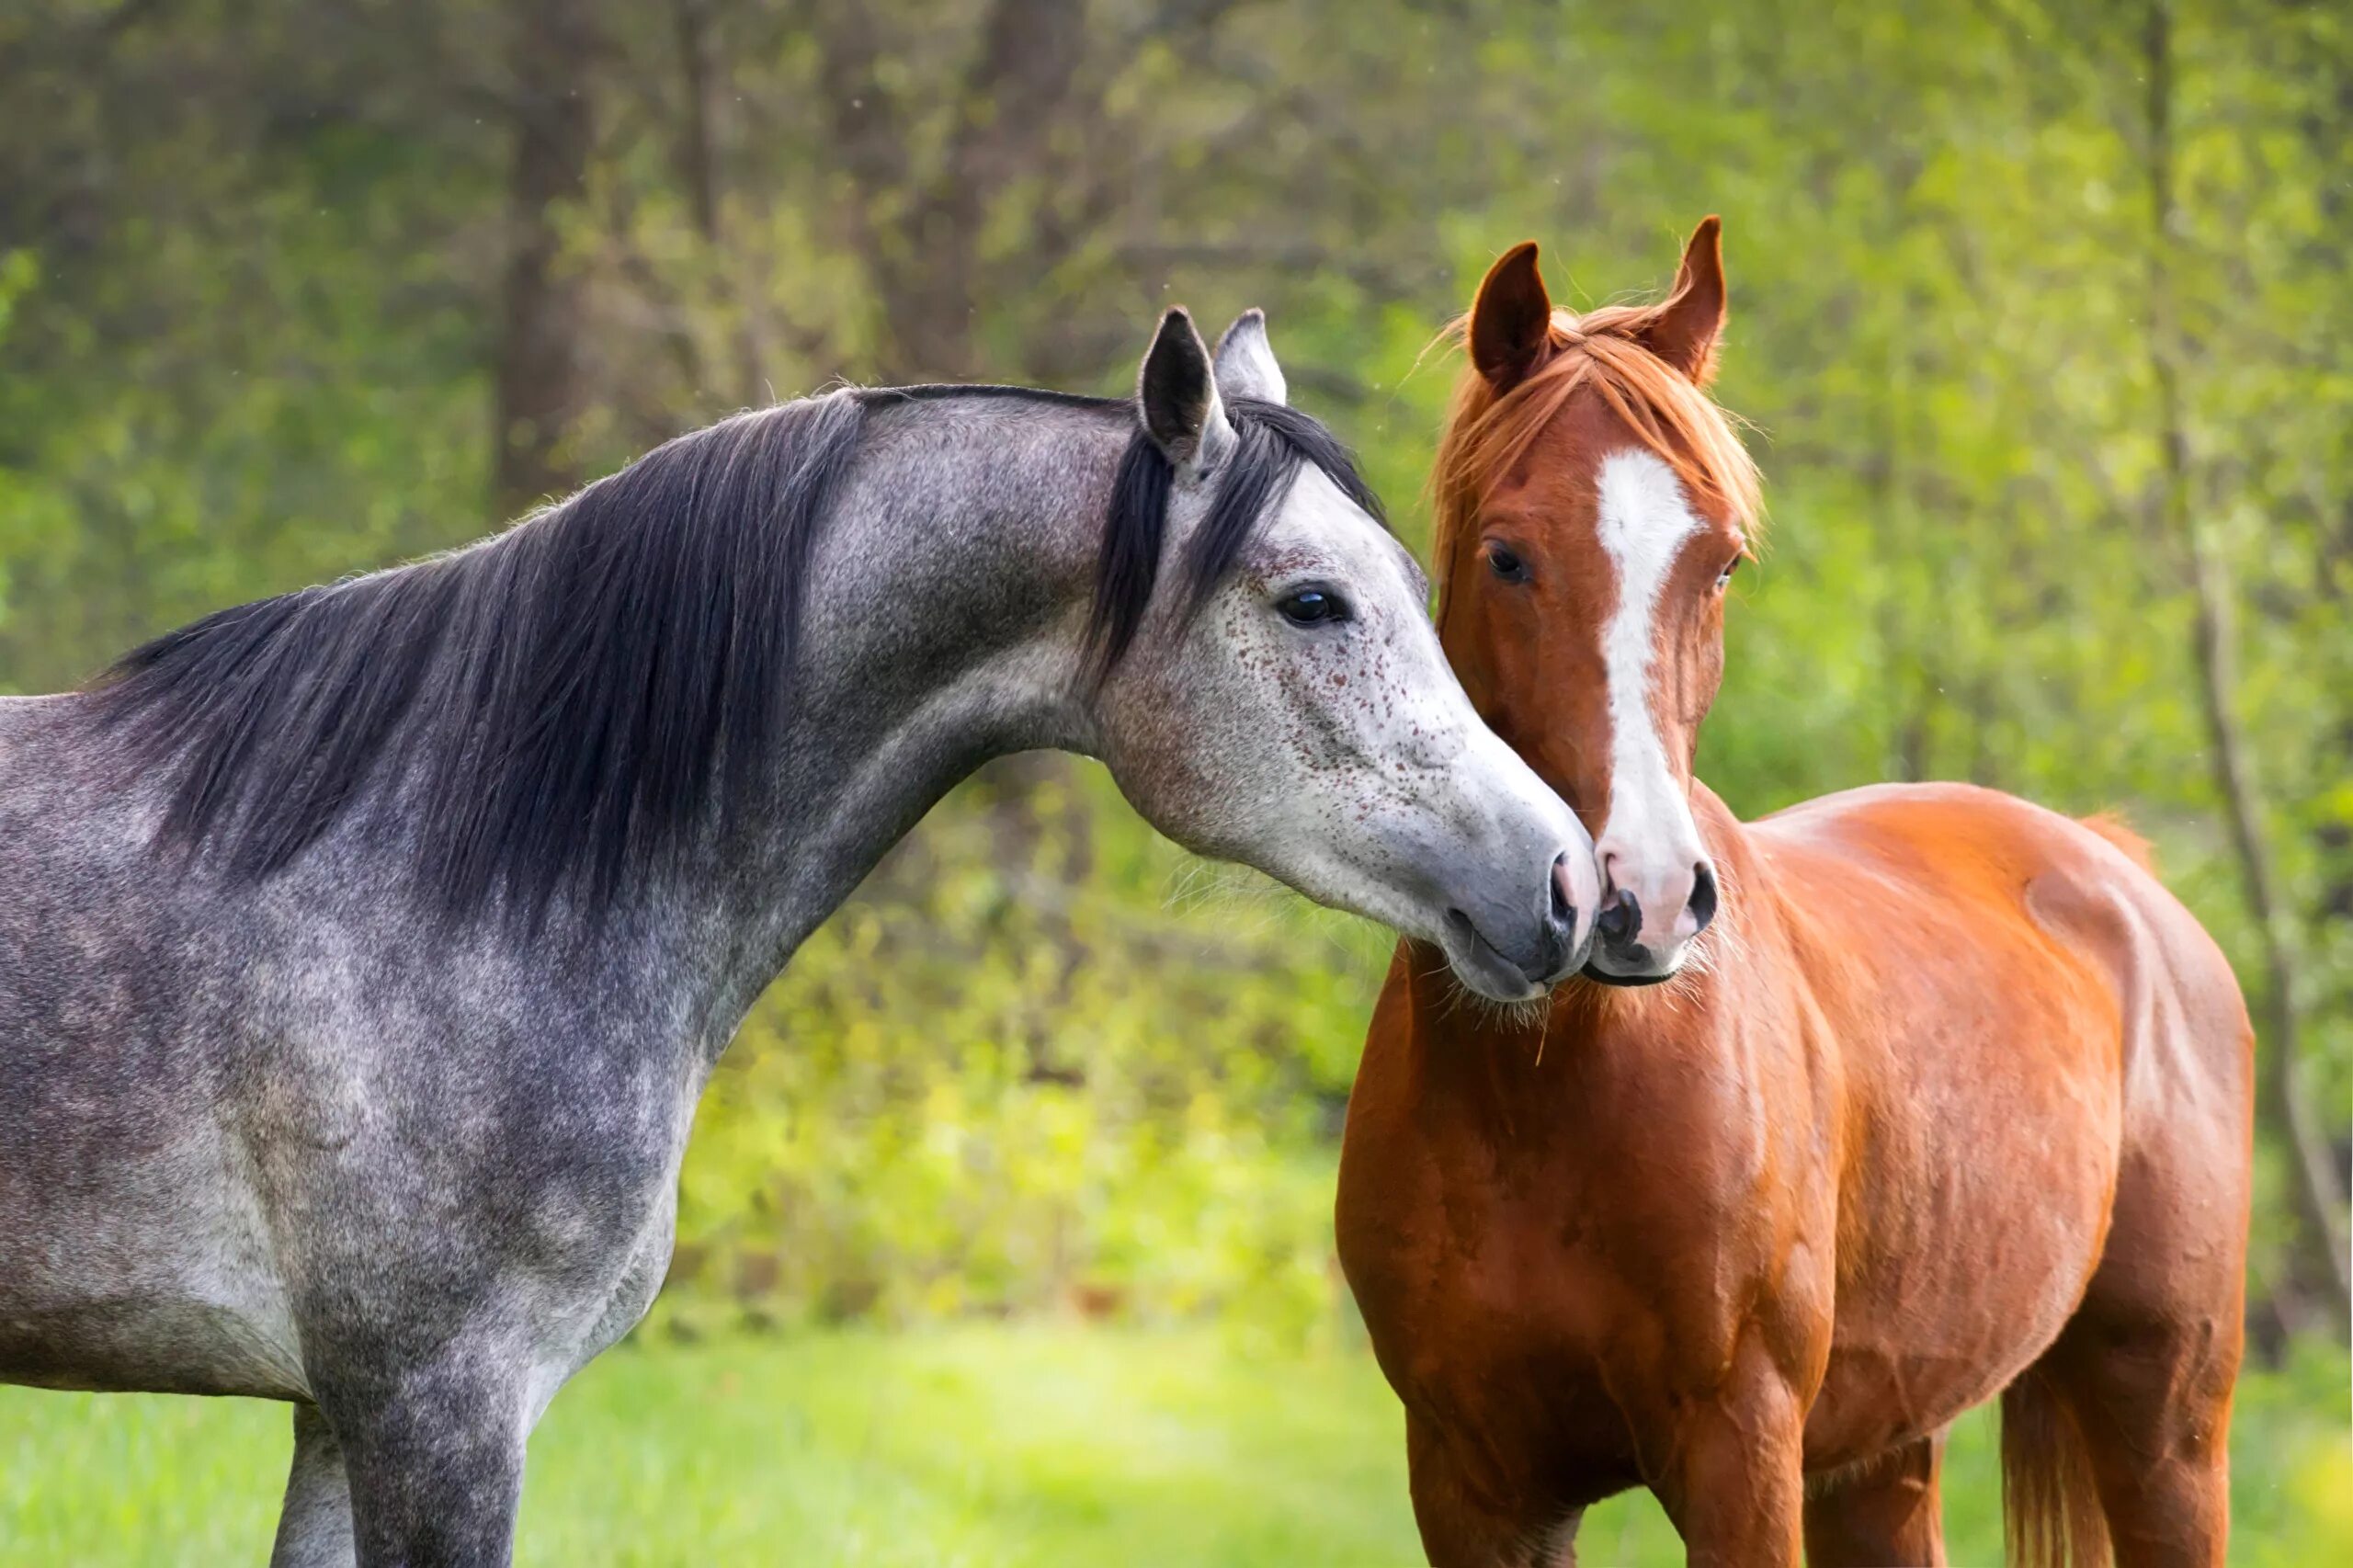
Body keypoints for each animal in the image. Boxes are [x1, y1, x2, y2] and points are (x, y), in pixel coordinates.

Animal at [1336, 222, 2249, 1562]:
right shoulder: (1473, 1483)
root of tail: (2116, 873)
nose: (1643, 900)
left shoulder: (1739, 1457)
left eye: (1718, 563)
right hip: (1882, 1457)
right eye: (1507, 556)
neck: (1541, 1094)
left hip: (2165, 1432)